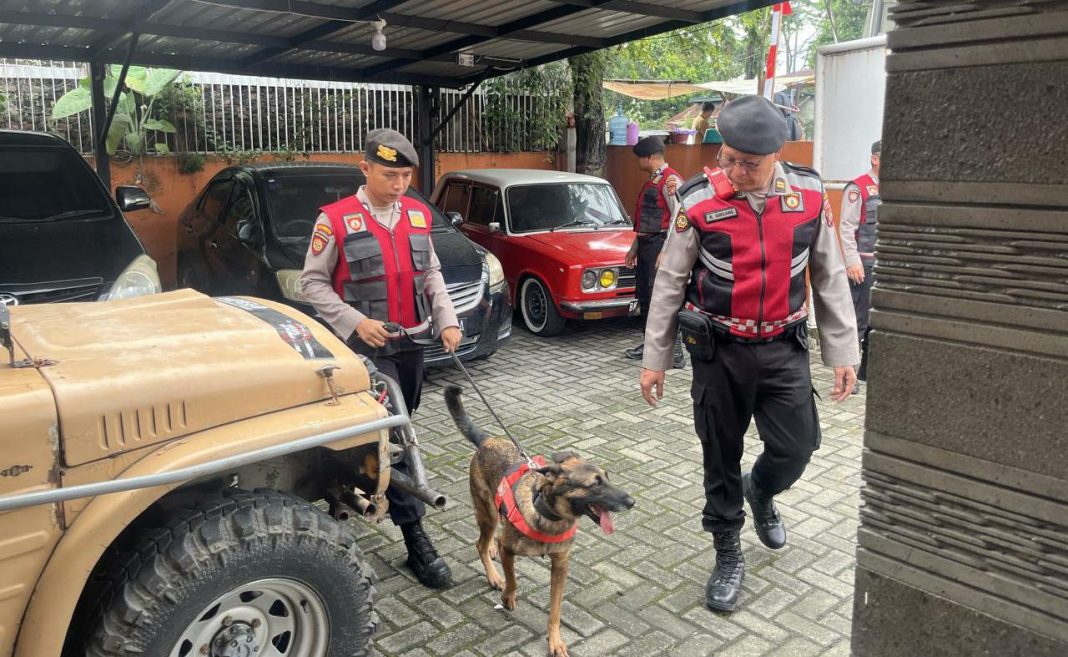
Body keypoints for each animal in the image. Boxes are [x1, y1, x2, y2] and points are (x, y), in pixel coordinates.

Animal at [444, 384, 632, 657]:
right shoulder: (508, 549)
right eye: (596, 484)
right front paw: (508, 596)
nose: (632, 501)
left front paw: (555, 640)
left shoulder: (561, 565)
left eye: (608, 477)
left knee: (487, 541)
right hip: (488, 513)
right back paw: (493, 574)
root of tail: (488, 440)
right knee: (481, 543)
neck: (549, 515)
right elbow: (512, 579)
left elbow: (555, 610)